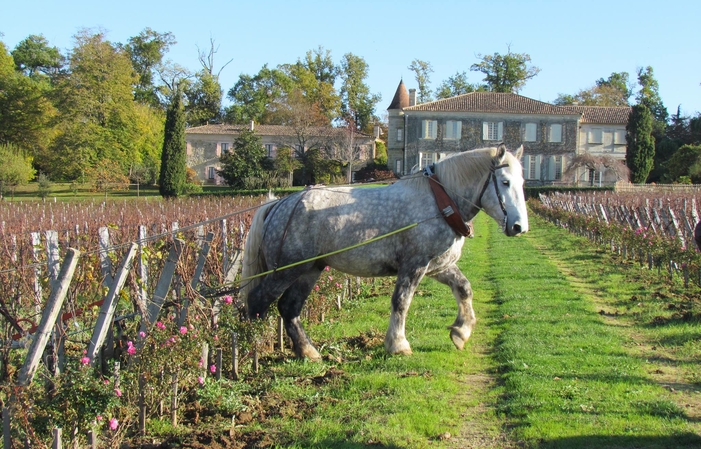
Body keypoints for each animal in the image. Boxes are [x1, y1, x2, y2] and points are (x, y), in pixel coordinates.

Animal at [239, 145, 524, 358]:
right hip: (286, 271)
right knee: (256, 303)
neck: (439, 202)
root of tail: (280, 204)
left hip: (309, 270)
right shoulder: (414, 264)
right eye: (505, 182)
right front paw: (397, 344)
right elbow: (401, 301)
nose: (519, 226)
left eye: (522, 182)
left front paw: (460, 332)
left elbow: (464, 288)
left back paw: (308, 352)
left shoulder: (437, 266)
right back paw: (249, 353)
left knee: (289, 308)